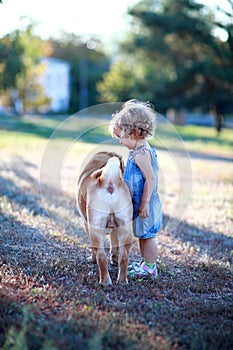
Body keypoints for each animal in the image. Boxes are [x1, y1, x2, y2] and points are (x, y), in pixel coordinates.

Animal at [77, 152, 133, 286]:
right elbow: (114, 245)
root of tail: (110, 181)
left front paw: (91, 258)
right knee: (124, 257)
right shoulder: (116, 228)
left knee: (101, 257)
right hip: (126, 229)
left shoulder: (88, 226)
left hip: (95, 231)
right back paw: (122, 280)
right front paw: (114, 260)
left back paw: (105, 281)